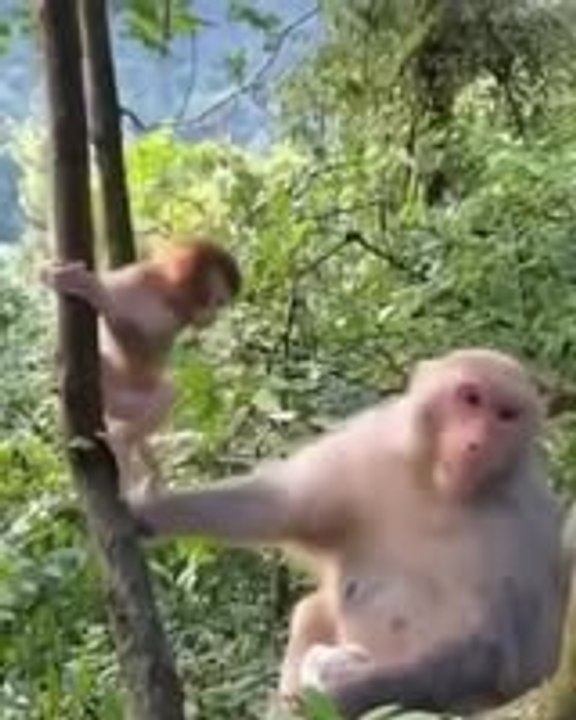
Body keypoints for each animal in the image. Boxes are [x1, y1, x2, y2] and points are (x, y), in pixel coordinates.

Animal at [42, 238, 241, 497]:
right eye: (219, 302)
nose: (213, 317)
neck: (160, 292)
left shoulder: (172, 317)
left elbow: (144, 351)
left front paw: (95, 291)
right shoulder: (132, 277)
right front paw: (62, 278)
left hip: (123, 401)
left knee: (167, 391)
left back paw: (126, 448)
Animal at [128, 348, 568, 718]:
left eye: (506, 415)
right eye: (470, 398)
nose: (478, 442)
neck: (440, 490)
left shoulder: (524, 528)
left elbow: (498, 653)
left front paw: (347, 689)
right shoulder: (370, 448)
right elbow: (279, 504)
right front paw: (145, 511)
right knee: (313, 609)